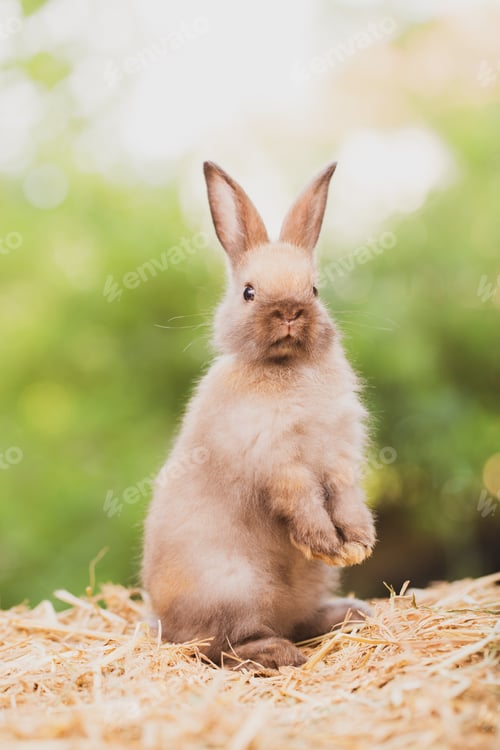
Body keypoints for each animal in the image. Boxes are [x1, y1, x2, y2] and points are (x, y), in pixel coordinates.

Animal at [142, 161, 376, 670]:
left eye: (315, 289)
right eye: (249, 292)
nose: (289, 310)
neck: (287, 368)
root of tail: (165, 627)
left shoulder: (339, 454)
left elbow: (346, 496)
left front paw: (359, 540)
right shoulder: (278, 462)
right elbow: (303, 500)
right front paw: (324, 541)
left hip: (305, 587)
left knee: (296, 621)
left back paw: (351, 614)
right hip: (237, 590)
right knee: (221, 646)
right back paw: (276, 654)